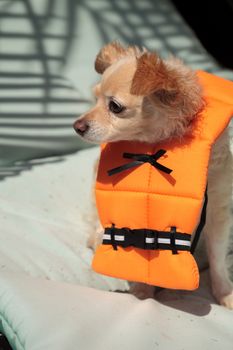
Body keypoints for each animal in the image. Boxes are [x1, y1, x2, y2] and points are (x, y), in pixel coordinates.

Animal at [74, 41, 233, 308]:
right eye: (94, 99)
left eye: (114, 107)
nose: (77, 126)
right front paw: (142, 294)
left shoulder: (218, 209)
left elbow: (218, 255)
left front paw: (225, 293)